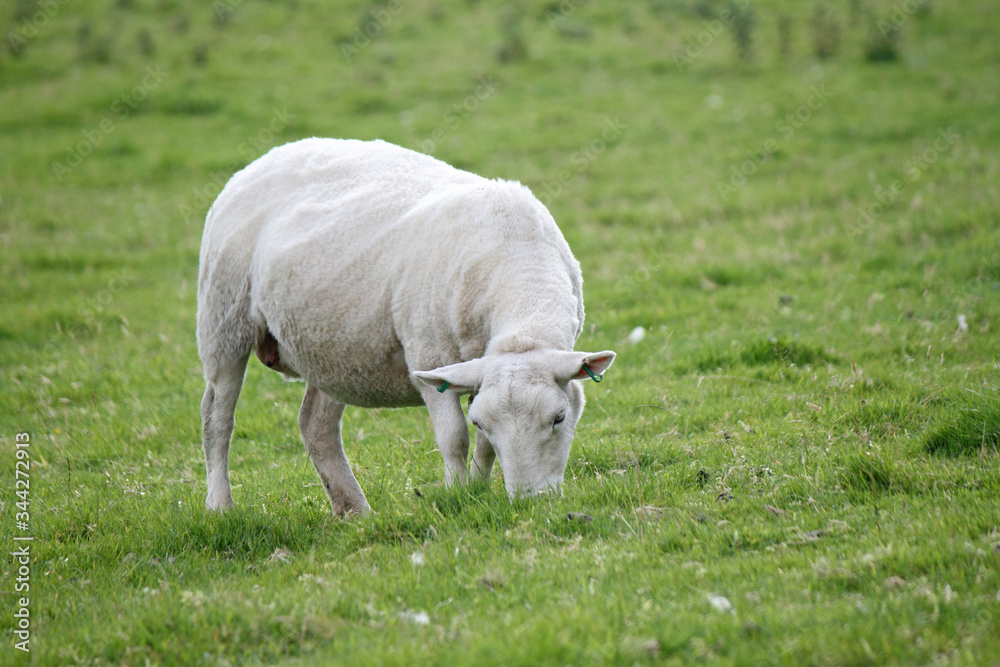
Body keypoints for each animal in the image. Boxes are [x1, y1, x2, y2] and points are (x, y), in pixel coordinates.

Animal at [197, 138, 615, 516]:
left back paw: (354, 511)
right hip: (223, 317)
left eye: (559, 418)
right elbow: (455, 438)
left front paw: (479, 489)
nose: (530, 501)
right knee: (217, 419)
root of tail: (264, 158)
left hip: (333, 348)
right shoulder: (428, 357)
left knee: (315, 425)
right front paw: (458, 494)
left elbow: (482, 445)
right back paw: (221, 507)